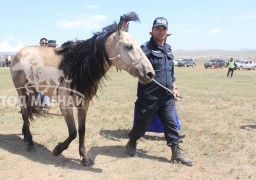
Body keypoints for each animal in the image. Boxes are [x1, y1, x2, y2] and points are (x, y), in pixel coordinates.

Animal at [9, 11, 154, 166]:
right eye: (129, 46)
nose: (150, 73)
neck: (75, 66)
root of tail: (18, 53)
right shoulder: (65, 104)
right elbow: (73, 132)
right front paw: (57, 149)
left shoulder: (84, 103)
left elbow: (82, 130)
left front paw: (84, 157)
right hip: (21, 91)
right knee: (25, 113)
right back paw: (30, 143)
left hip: (33, 91)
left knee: (26, 111)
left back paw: (26, 135)